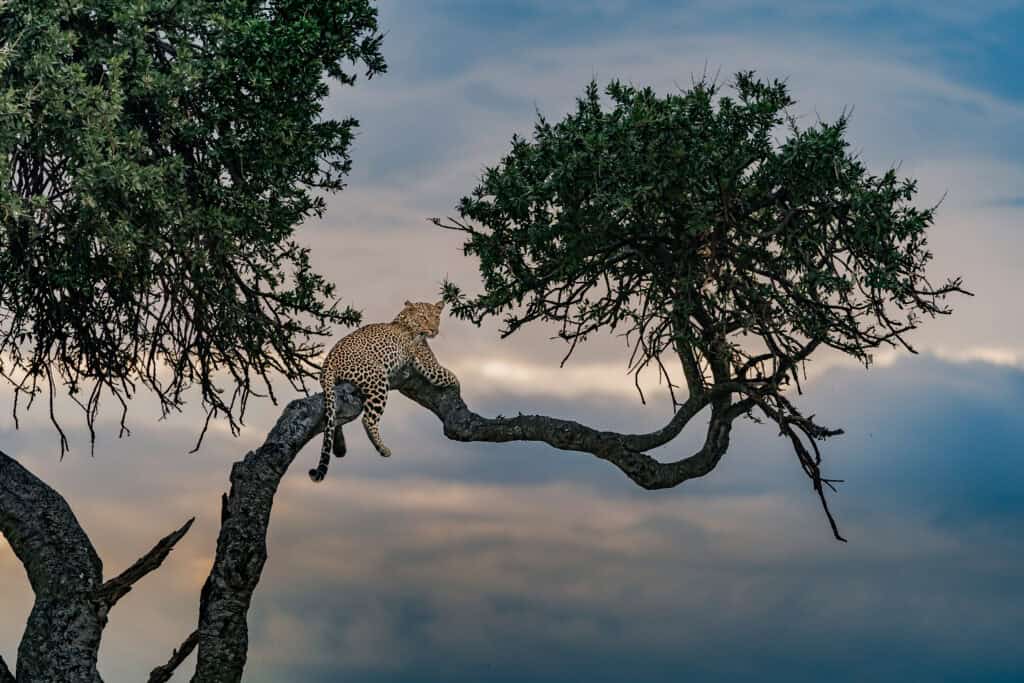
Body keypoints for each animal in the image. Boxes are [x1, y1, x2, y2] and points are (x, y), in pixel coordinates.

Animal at [310, 299, 459, 482]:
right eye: (423, 317)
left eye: (436, 317)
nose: (434, 330)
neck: (404, 320)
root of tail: (327, 364)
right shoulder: (429, 365)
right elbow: (452, 376)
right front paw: (458, 389)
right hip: (378, 377)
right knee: (368, 419)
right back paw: (382, 448)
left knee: (335, 417)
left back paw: (339, 446)